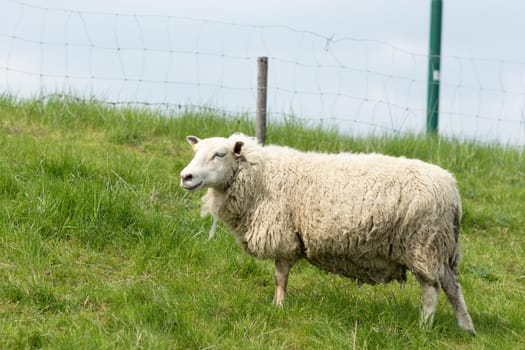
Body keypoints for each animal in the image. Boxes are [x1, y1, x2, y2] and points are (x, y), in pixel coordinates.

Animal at [179, 133, 474, 334]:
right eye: (196, 151)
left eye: (219, 154)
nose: (186, 176)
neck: (260, 176)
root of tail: (452, 190)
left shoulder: (284, 235)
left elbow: (280, 277)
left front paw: (278, 306)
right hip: (440, 247)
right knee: (453, 287)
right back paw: (466, 328)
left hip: (423, 244)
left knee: (431, 289)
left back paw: (424, 325)